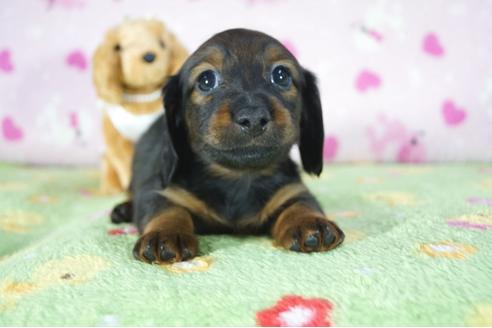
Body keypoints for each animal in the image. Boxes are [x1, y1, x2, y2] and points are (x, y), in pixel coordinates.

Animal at [92, 18, 186, 195]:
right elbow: (123, 159)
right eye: (118, 47)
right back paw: (111, 188)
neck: (142, 99)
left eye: (163, 43)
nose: (149, 56)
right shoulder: (117, 135)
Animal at [110, 28, 342, 264]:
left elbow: (302, 204)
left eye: (281, 75)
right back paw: (124, 210)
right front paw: (164, 233)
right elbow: (167, 210)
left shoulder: (291, 190)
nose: (253, 117)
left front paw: (310, 222)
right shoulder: (162, 192)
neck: (236, 177)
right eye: (206, 80)